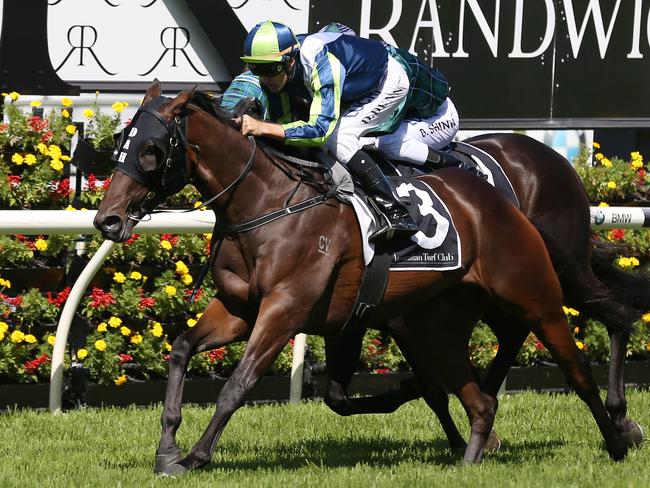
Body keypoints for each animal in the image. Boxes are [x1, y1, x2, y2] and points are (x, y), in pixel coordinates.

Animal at [95, 82, 628, 474]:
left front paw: (196, 456)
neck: (267, 204)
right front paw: (167, 448)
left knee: (587, 354)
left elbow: (238, 384)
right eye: (120, 146)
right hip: (439, 322)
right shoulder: (243, 309)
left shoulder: (285, 309)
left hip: (537, 293)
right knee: (484, 382)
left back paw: (620, 434)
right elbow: (182, 349)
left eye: (150, 150)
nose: (106, 220)